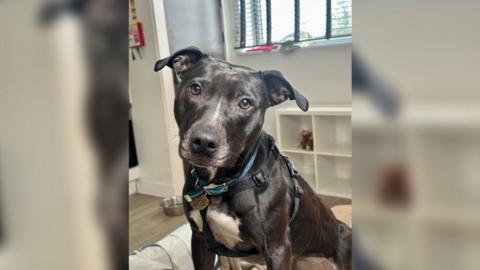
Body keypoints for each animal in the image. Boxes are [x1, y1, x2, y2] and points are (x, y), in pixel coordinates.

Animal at [156, 47, 350, 270]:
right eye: (195, 89)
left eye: (245, 103)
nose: (204, 142)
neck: (220, 183)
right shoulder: (200, 240)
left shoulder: (277, 249)